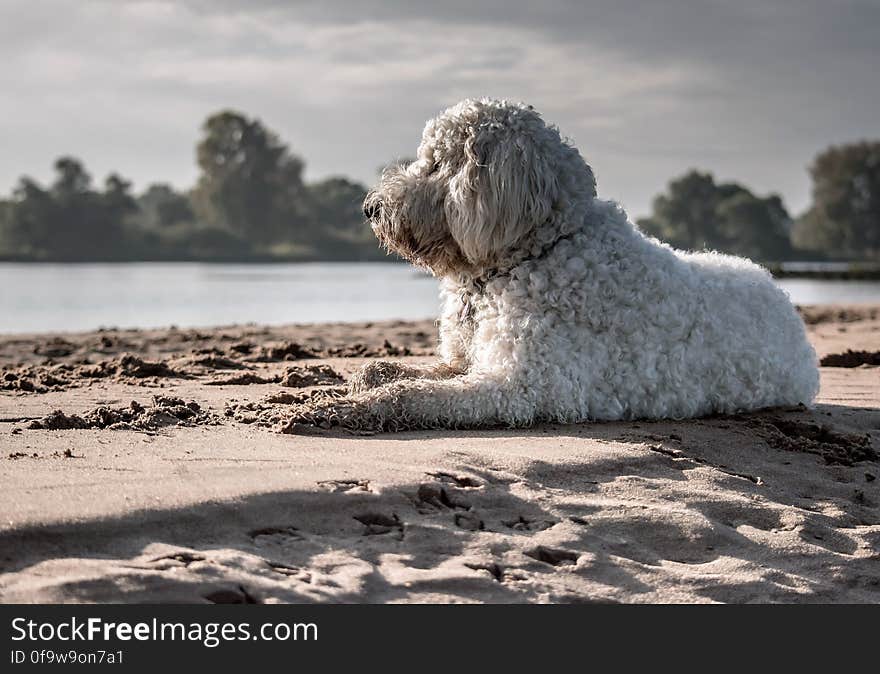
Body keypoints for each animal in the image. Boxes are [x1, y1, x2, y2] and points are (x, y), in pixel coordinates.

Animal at [288, 98, 820, 430]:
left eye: (438, 164)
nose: (370, 207)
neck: (535, 251)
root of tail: (779, 293)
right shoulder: (467, 361)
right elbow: (401, 372)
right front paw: (352, 381)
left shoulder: (525, 386)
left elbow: (411, 396)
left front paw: (336, 411)